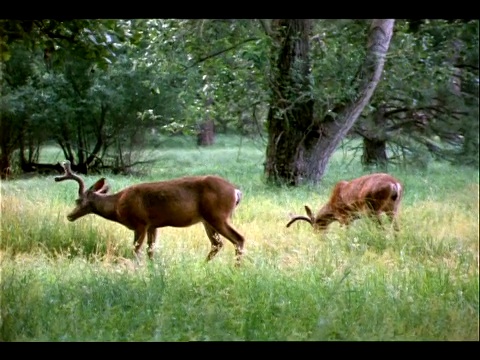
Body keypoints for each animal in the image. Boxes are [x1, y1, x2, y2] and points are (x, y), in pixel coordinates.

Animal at [54, 162, 246, 266]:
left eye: (77, 200)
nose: (69, 216)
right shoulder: (153, 225)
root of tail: (235, 191)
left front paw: (139, 269)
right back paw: (201, 266)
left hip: (218, 215)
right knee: (217, 244)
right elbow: (150, 250)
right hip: (207, 220)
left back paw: (236, 269)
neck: (117, 204)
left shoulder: (140, 223)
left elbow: (136, 249)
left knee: (239, 239)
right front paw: (153, 269)